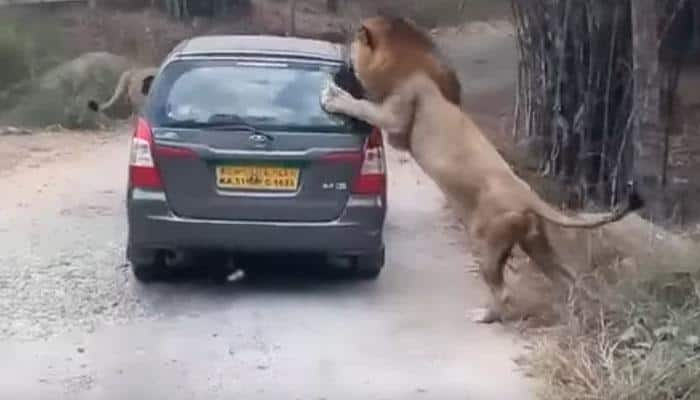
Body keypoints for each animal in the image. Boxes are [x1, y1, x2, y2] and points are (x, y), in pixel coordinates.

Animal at [320, 15, 644, 324]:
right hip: (535, 241)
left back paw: (487, 316)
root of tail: (528, 196)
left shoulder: (397, 118)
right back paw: (576, 312)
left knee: (503, 289)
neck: (407, 62)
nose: (346, 60)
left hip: (486, 239)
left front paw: (335, 98)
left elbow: (363, 107)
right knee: (567, 276)